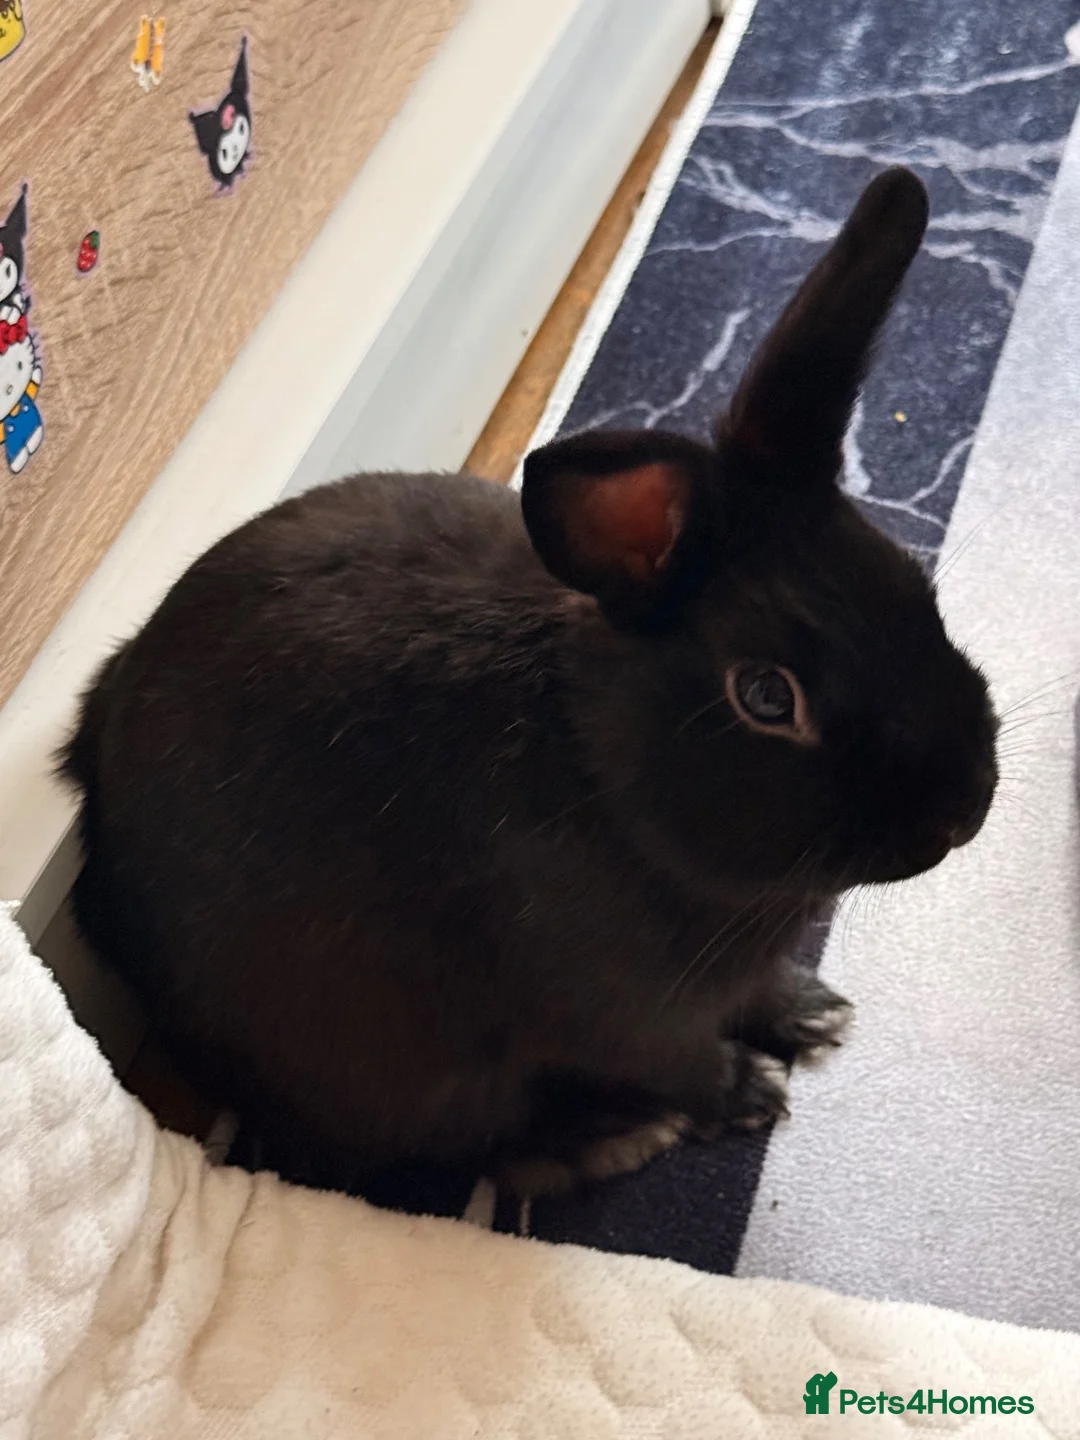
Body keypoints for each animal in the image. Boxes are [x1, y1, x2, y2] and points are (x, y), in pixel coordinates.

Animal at [60, 167, 998, 1195]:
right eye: (764, 697)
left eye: (913, 586)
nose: (965, 810)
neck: (609, 775)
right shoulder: (626, 1018)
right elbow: (685, 1062)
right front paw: (751, 1092)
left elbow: (757, 994)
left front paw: (812, 1013)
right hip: (398, 1082)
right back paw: (613, 1138)